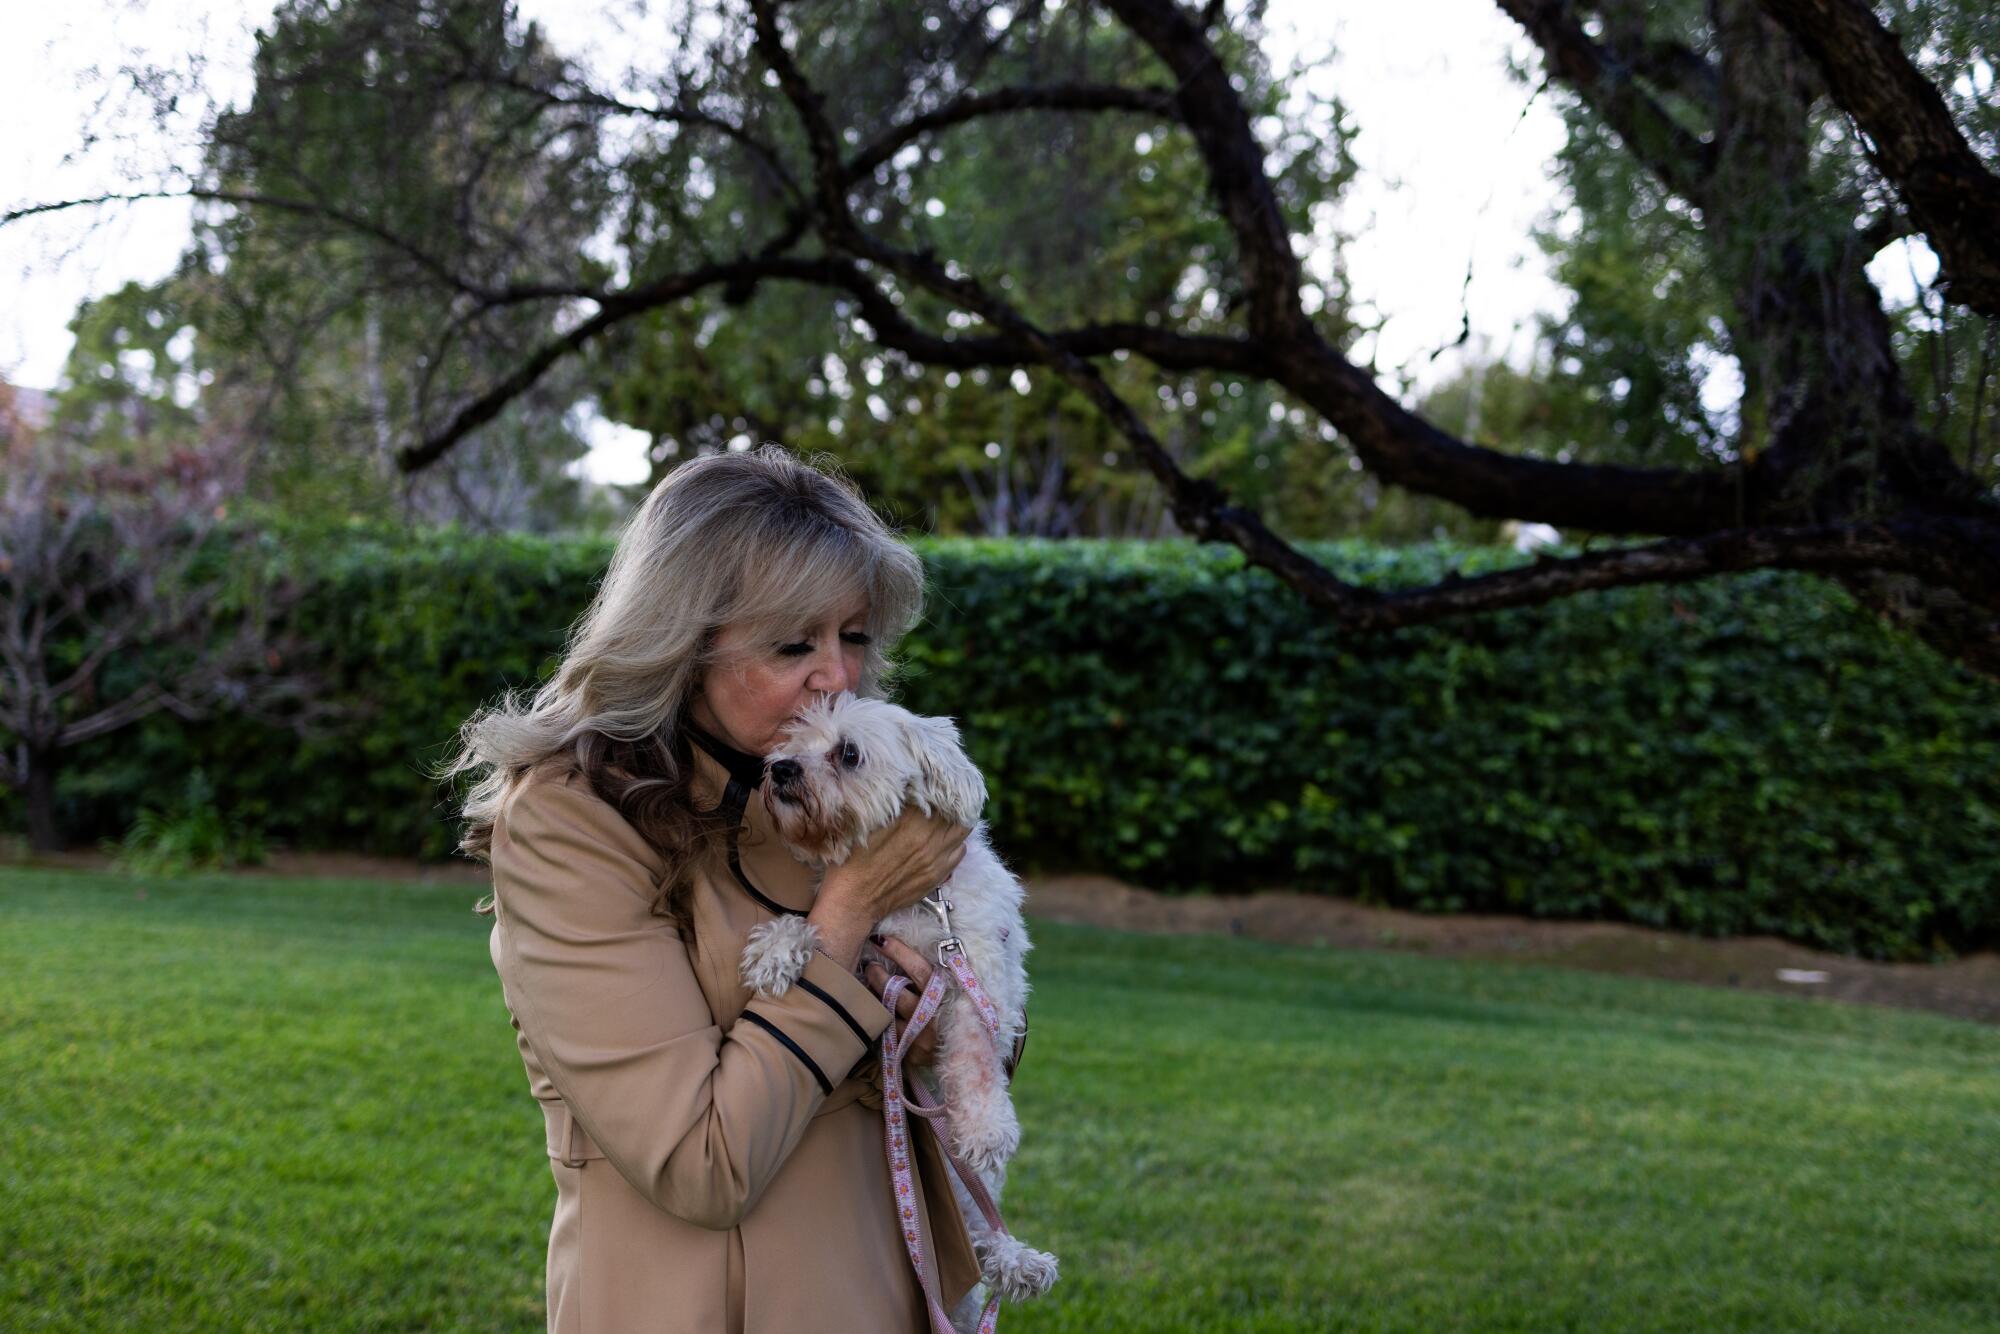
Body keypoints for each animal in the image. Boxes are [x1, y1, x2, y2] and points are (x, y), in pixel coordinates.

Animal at [740, 700, 1064, 1312]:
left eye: (848, 753)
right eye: (794, 738)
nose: (782, 769)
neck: (917, 906)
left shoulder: (972, 976)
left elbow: (975, 1055)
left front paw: (986, 1128)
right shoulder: (866, 958)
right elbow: (818, 928)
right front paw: (777, 948)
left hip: (968, 1186)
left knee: (985, 1227)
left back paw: (1019, 1262)